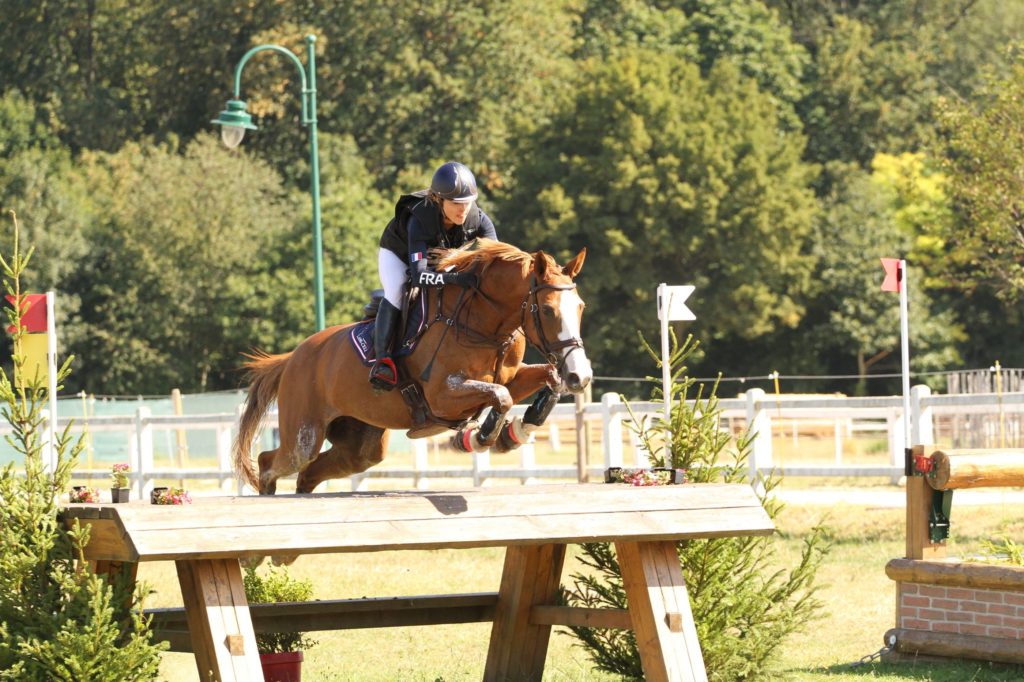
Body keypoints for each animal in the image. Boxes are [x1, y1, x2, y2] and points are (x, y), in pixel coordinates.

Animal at [234, 238, 593, 493]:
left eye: (580, 306)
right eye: (547, 310)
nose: (582, 375)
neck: (482, 323)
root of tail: (293, 357)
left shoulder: (512, 377)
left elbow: (545, 379)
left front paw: (519, 429)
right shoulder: (443, 396)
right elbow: (501, 396)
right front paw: (482, 437)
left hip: (360, 445)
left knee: (310, 474)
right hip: (303, 434)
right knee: (272, 462)